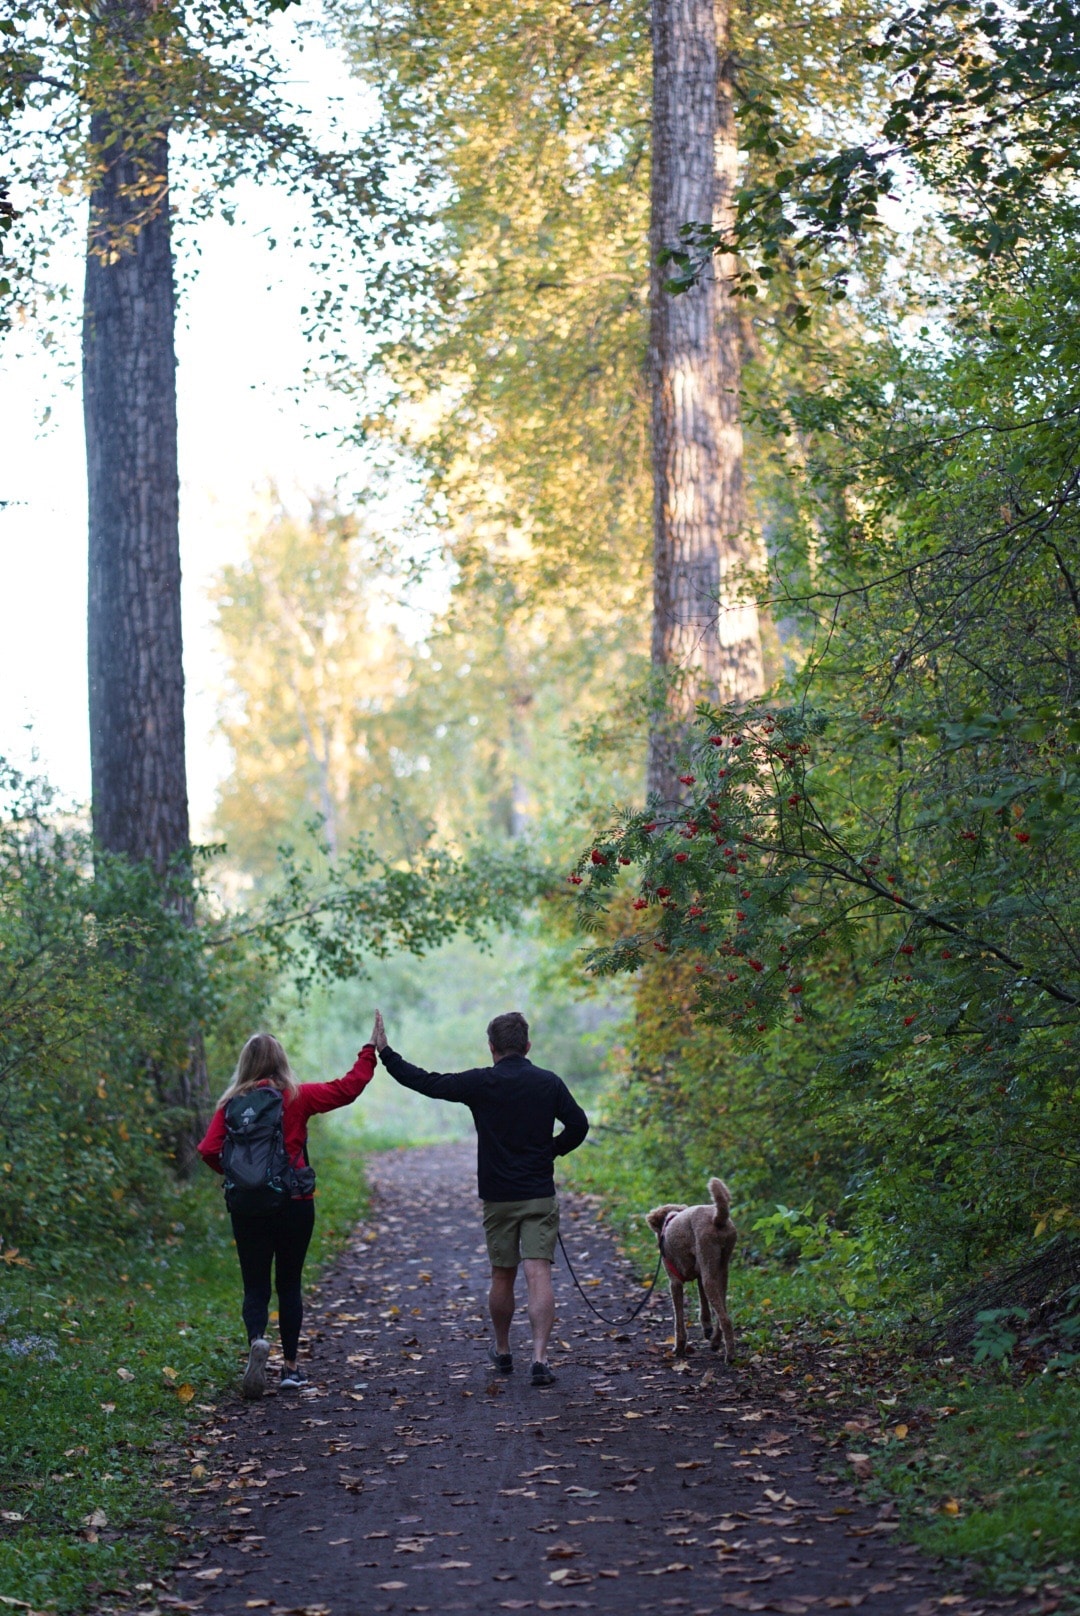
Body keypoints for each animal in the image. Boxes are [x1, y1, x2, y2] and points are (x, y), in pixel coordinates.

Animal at [646, 1182, 737, 1357]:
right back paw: (715, 1341)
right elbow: (704, 1306)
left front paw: (679, 1347)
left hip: (709, 1269)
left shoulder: (675, 1282)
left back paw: (730, 1355)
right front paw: (706, 1329)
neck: (669, 1220)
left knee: (726, 1319)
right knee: (722, 1310)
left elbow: (679, 1318)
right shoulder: (700, 1274)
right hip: (720, 1269)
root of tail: (717, 1219)